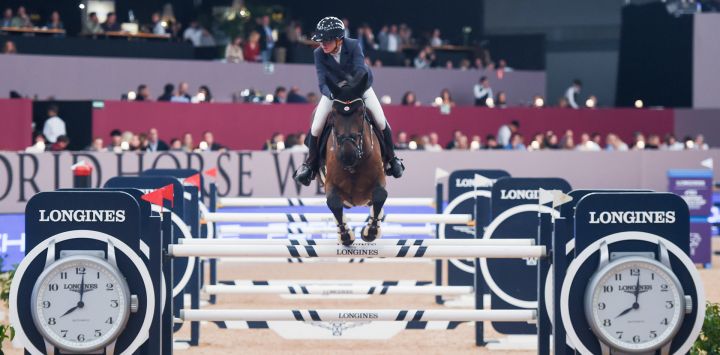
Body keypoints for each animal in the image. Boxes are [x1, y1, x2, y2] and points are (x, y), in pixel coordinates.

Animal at [322, 73, 386, 246]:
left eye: (361, 112)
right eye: (333, 113)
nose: (347, 155)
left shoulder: (379, 178)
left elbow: (380, 195)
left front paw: (370, 231)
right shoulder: (330, 183)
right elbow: (333, 202)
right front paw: (345, 235)